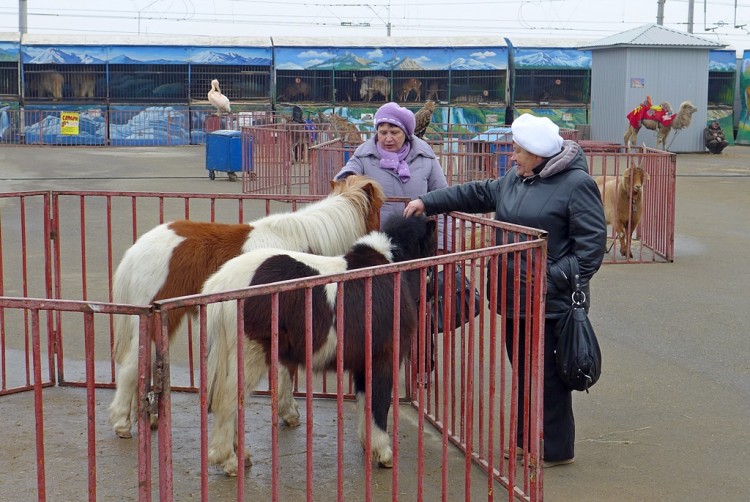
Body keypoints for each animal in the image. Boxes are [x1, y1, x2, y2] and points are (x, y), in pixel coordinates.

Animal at [108, 176, 384, 440]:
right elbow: (286, 372)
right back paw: (122, 424)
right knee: (132, 366)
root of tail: (135, 251)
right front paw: (290, 413)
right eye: (379, 208)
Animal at [206, 214, 438, 476]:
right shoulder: (382, 357)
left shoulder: (363, 362)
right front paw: (383, 453)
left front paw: (369, 445)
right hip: (249, 355)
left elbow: (364, 401)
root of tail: (223, 284)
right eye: (432, 248)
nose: (433, 293)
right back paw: (229, 460)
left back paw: (241, 454)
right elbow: (378, 403)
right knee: (228, 400)